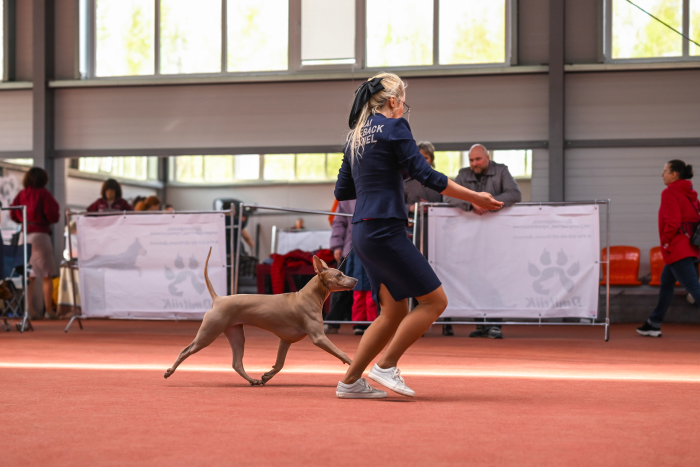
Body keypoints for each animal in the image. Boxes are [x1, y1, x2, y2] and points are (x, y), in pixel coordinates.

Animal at [164, 249, 358, 386]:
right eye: (339, 274)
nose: (355, 280)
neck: (307, 296)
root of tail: (218, 299)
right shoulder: (319, 338)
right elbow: (343, 353)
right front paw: (356, 367)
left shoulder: (285, 340)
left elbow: (279, 364)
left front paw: (266, 376)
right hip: (208, 333)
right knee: (185, 351)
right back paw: (169, 371)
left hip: (236, 335)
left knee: (237, 363)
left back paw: (252, 380)